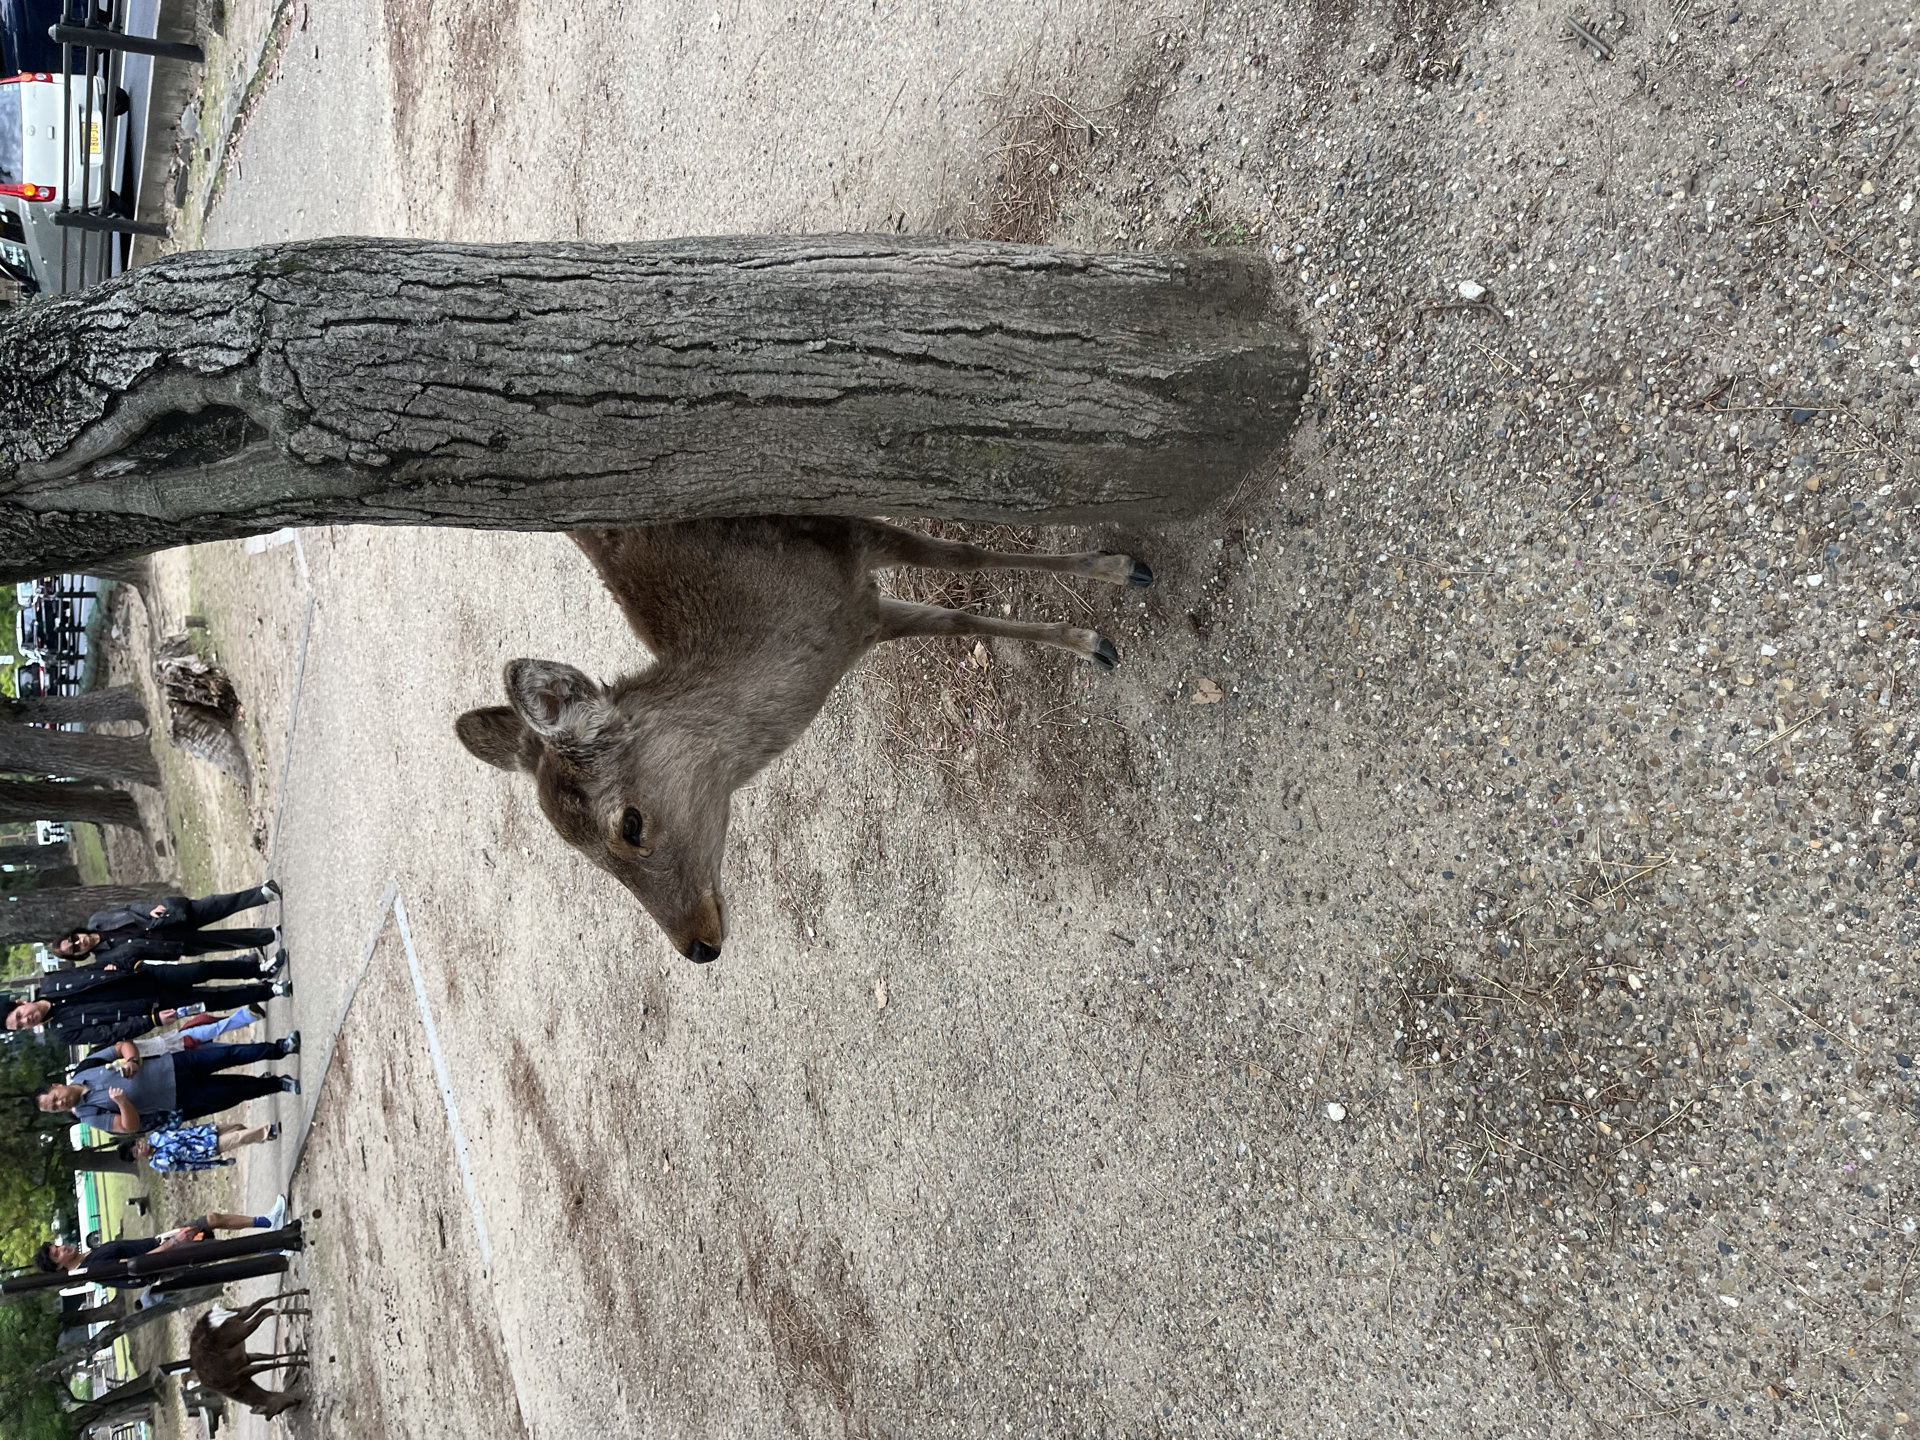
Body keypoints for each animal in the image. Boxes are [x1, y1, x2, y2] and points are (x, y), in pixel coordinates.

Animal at [187, 1289, 310, 1419]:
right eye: (278, 1410)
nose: (298, 1401)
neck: (237, 1386)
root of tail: (208, 1319)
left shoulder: (242, 1372)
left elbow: (265, 1365)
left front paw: (305, 1362)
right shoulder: (245, 1359)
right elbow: (267, 1357)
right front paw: (303, 1355)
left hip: (235, 1330)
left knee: (263, 1311)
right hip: (237, 1317)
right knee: (261, 1303)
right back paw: (305, 1300)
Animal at [456, 517, 1153, 963]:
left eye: (630, 824)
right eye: (585, 862)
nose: (698, 948)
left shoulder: (844, 538)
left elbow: (964, 559)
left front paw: (1118, 580)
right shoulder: (865, 619)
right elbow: (956, 616)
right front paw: (1095, 634)